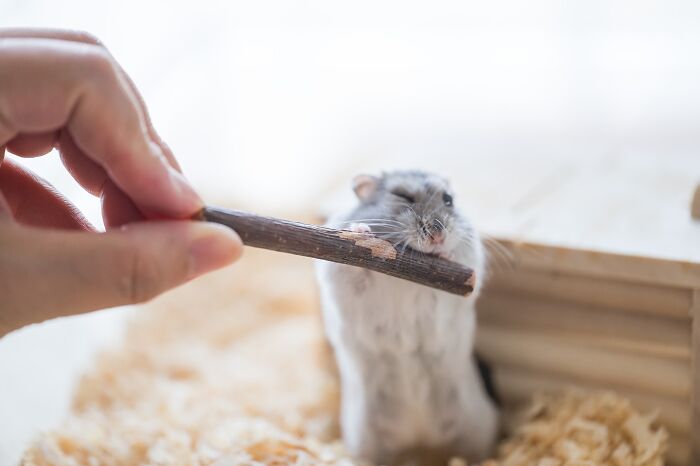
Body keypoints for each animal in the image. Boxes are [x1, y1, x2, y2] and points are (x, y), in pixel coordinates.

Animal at [315, 170, 499, 466]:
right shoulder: (341, 276)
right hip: (368, 440)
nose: (437, 236)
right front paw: (361, 232)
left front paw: (444, 253)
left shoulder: (468, 273)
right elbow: (354, 271)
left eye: (448, 199)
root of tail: (419, 434)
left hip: (476, 430)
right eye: (403, 197)